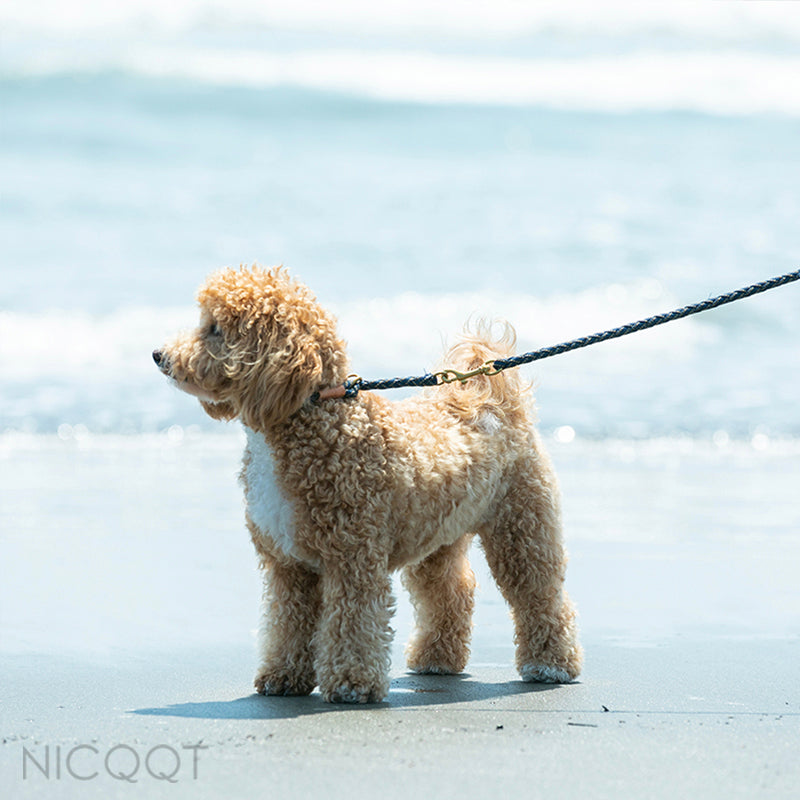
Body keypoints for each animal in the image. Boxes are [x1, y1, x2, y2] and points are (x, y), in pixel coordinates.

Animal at [155, 266, 580, 704]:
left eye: (215, 329)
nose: (159, 356)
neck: (316, 414)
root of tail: (494, 403)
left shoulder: (352, 560)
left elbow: (353, 625)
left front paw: (351, 683)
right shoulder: (288, 566)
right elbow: (287, 624)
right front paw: (283, 675)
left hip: (521, 529)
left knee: (539, 594)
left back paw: (550, 664)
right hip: (438, 537)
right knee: (451, 592)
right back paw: (436, 657)